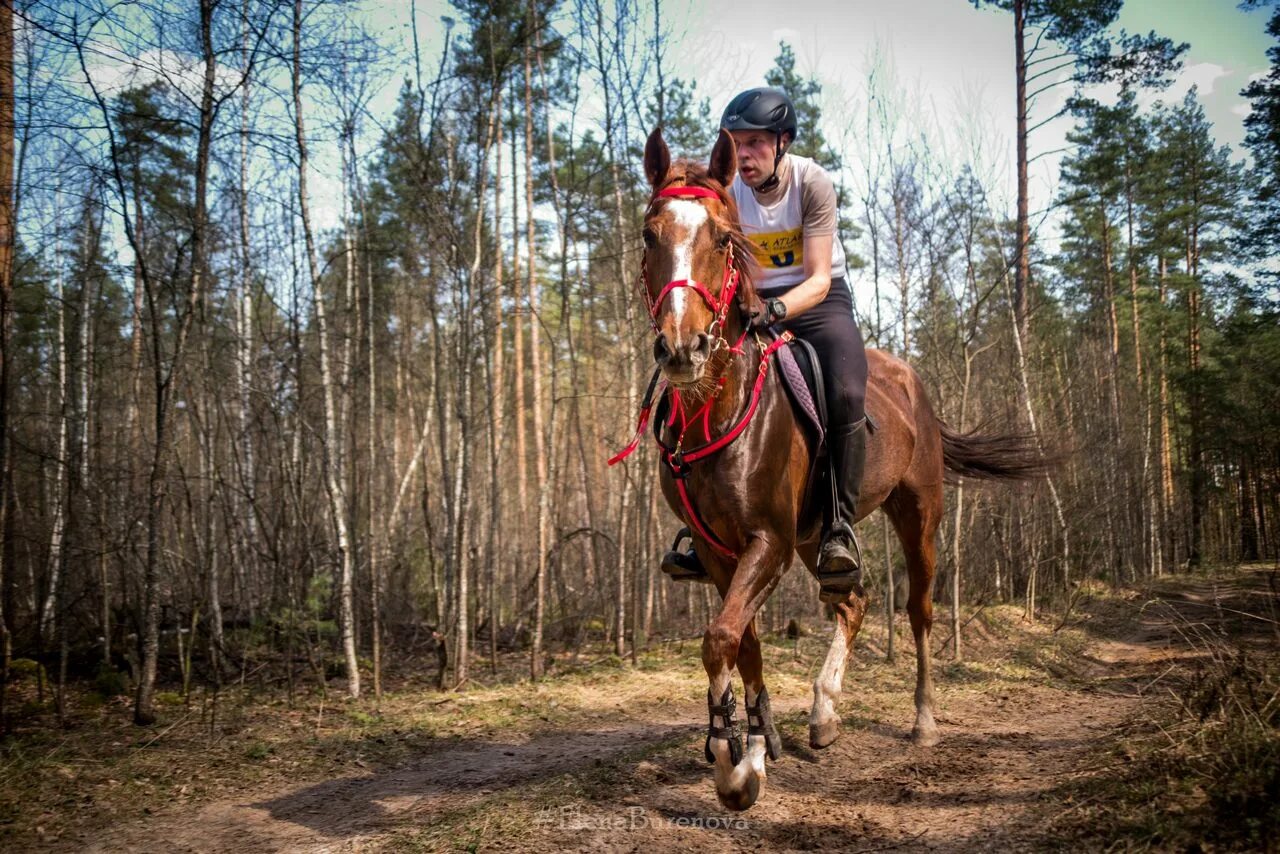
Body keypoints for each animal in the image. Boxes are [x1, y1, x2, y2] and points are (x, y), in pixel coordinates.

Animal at [624, 128, 1054, 814]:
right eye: (649, 234)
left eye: (723, 239)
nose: (683, 348)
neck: (717, 405)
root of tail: (912, 382)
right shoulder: (722, 550)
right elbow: (743, 641)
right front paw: (753, 745)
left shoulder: (767, 541)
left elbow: (721, 639)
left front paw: (731, 768)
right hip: (813, 536)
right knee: (851, 602)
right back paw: (824, 714)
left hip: (917, 513)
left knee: (917, 608)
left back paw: (923, 721)